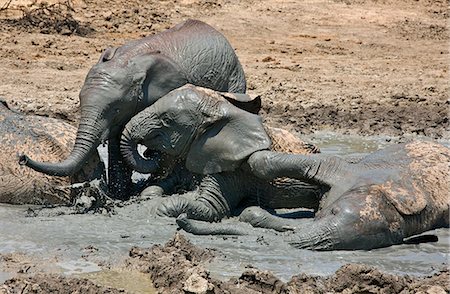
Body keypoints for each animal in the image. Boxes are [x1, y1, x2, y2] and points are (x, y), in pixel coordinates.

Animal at [19, 19, 248, 200]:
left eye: (115, 108)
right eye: (79, 100)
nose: (22, 158)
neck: (128, 61)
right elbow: (117, 142)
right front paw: (121, 195)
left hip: (234, 80)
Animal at [120, 84, 324, 226]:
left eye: (166, 120)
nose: (149, 152)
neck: (221, 111)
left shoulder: (234, 168)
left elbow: (210, 208)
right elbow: (159, 186)